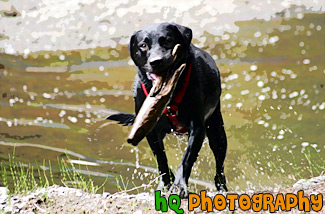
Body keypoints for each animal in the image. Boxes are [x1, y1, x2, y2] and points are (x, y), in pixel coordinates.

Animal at [107, 22, 228, 196]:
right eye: (143, 45)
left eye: (168, 41)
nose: (156, 61)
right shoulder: (151, 132)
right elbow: (161, 160)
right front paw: (165, 185)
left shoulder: (198, 128)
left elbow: (186, 159)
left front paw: (179, 185)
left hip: (217, 131)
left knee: (220, 166)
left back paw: (222, 189)